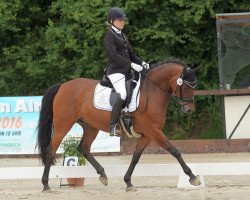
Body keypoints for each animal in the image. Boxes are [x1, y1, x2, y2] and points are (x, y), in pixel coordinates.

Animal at [36, 58, 201, 191]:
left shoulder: (147, 135)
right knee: (51, 150)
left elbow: (135, 157)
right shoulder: (154, 131)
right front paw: (193, 177)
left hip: (90, 127)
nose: (189, 110)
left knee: (83, 148)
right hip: (63, 125)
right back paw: (45, 185)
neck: (152, 91)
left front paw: (128, 182)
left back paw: (103, 175)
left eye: (194, 86)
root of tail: (62, 86)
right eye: (186, 86)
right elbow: (175, 151)